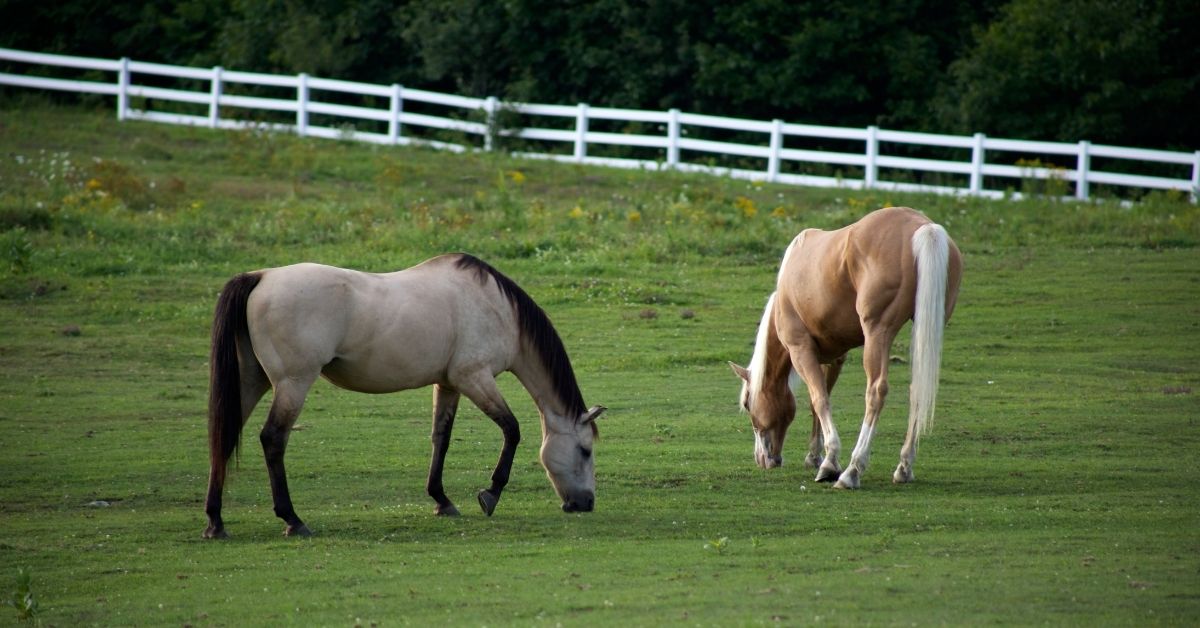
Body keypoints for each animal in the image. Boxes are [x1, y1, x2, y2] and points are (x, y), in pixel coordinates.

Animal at [202, 253, 609, 537]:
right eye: (585, 451)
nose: (586, 503)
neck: (497, 308)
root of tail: (260, 277)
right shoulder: (474, 378)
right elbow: (512, 430)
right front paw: (490, 494)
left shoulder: (448, 384)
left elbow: (441, 438)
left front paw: (441, 500)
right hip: (292, 383)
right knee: (272, 439)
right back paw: (292, 519)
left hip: (251, 381)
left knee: (224, 437)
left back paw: (215, 522)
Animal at [724, 208, 960, 489]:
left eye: (747, 404)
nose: (763, 459)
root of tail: (923, 227)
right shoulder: (834, 356)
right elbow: (818, 400)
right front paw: (815, 456)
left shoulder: (800, 349)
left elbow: (820, 399)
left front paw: (829, 463)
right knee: (918, 390)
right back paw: (903, 467)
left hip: (878, 334)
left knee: (876, 392)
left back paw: (852, 470)